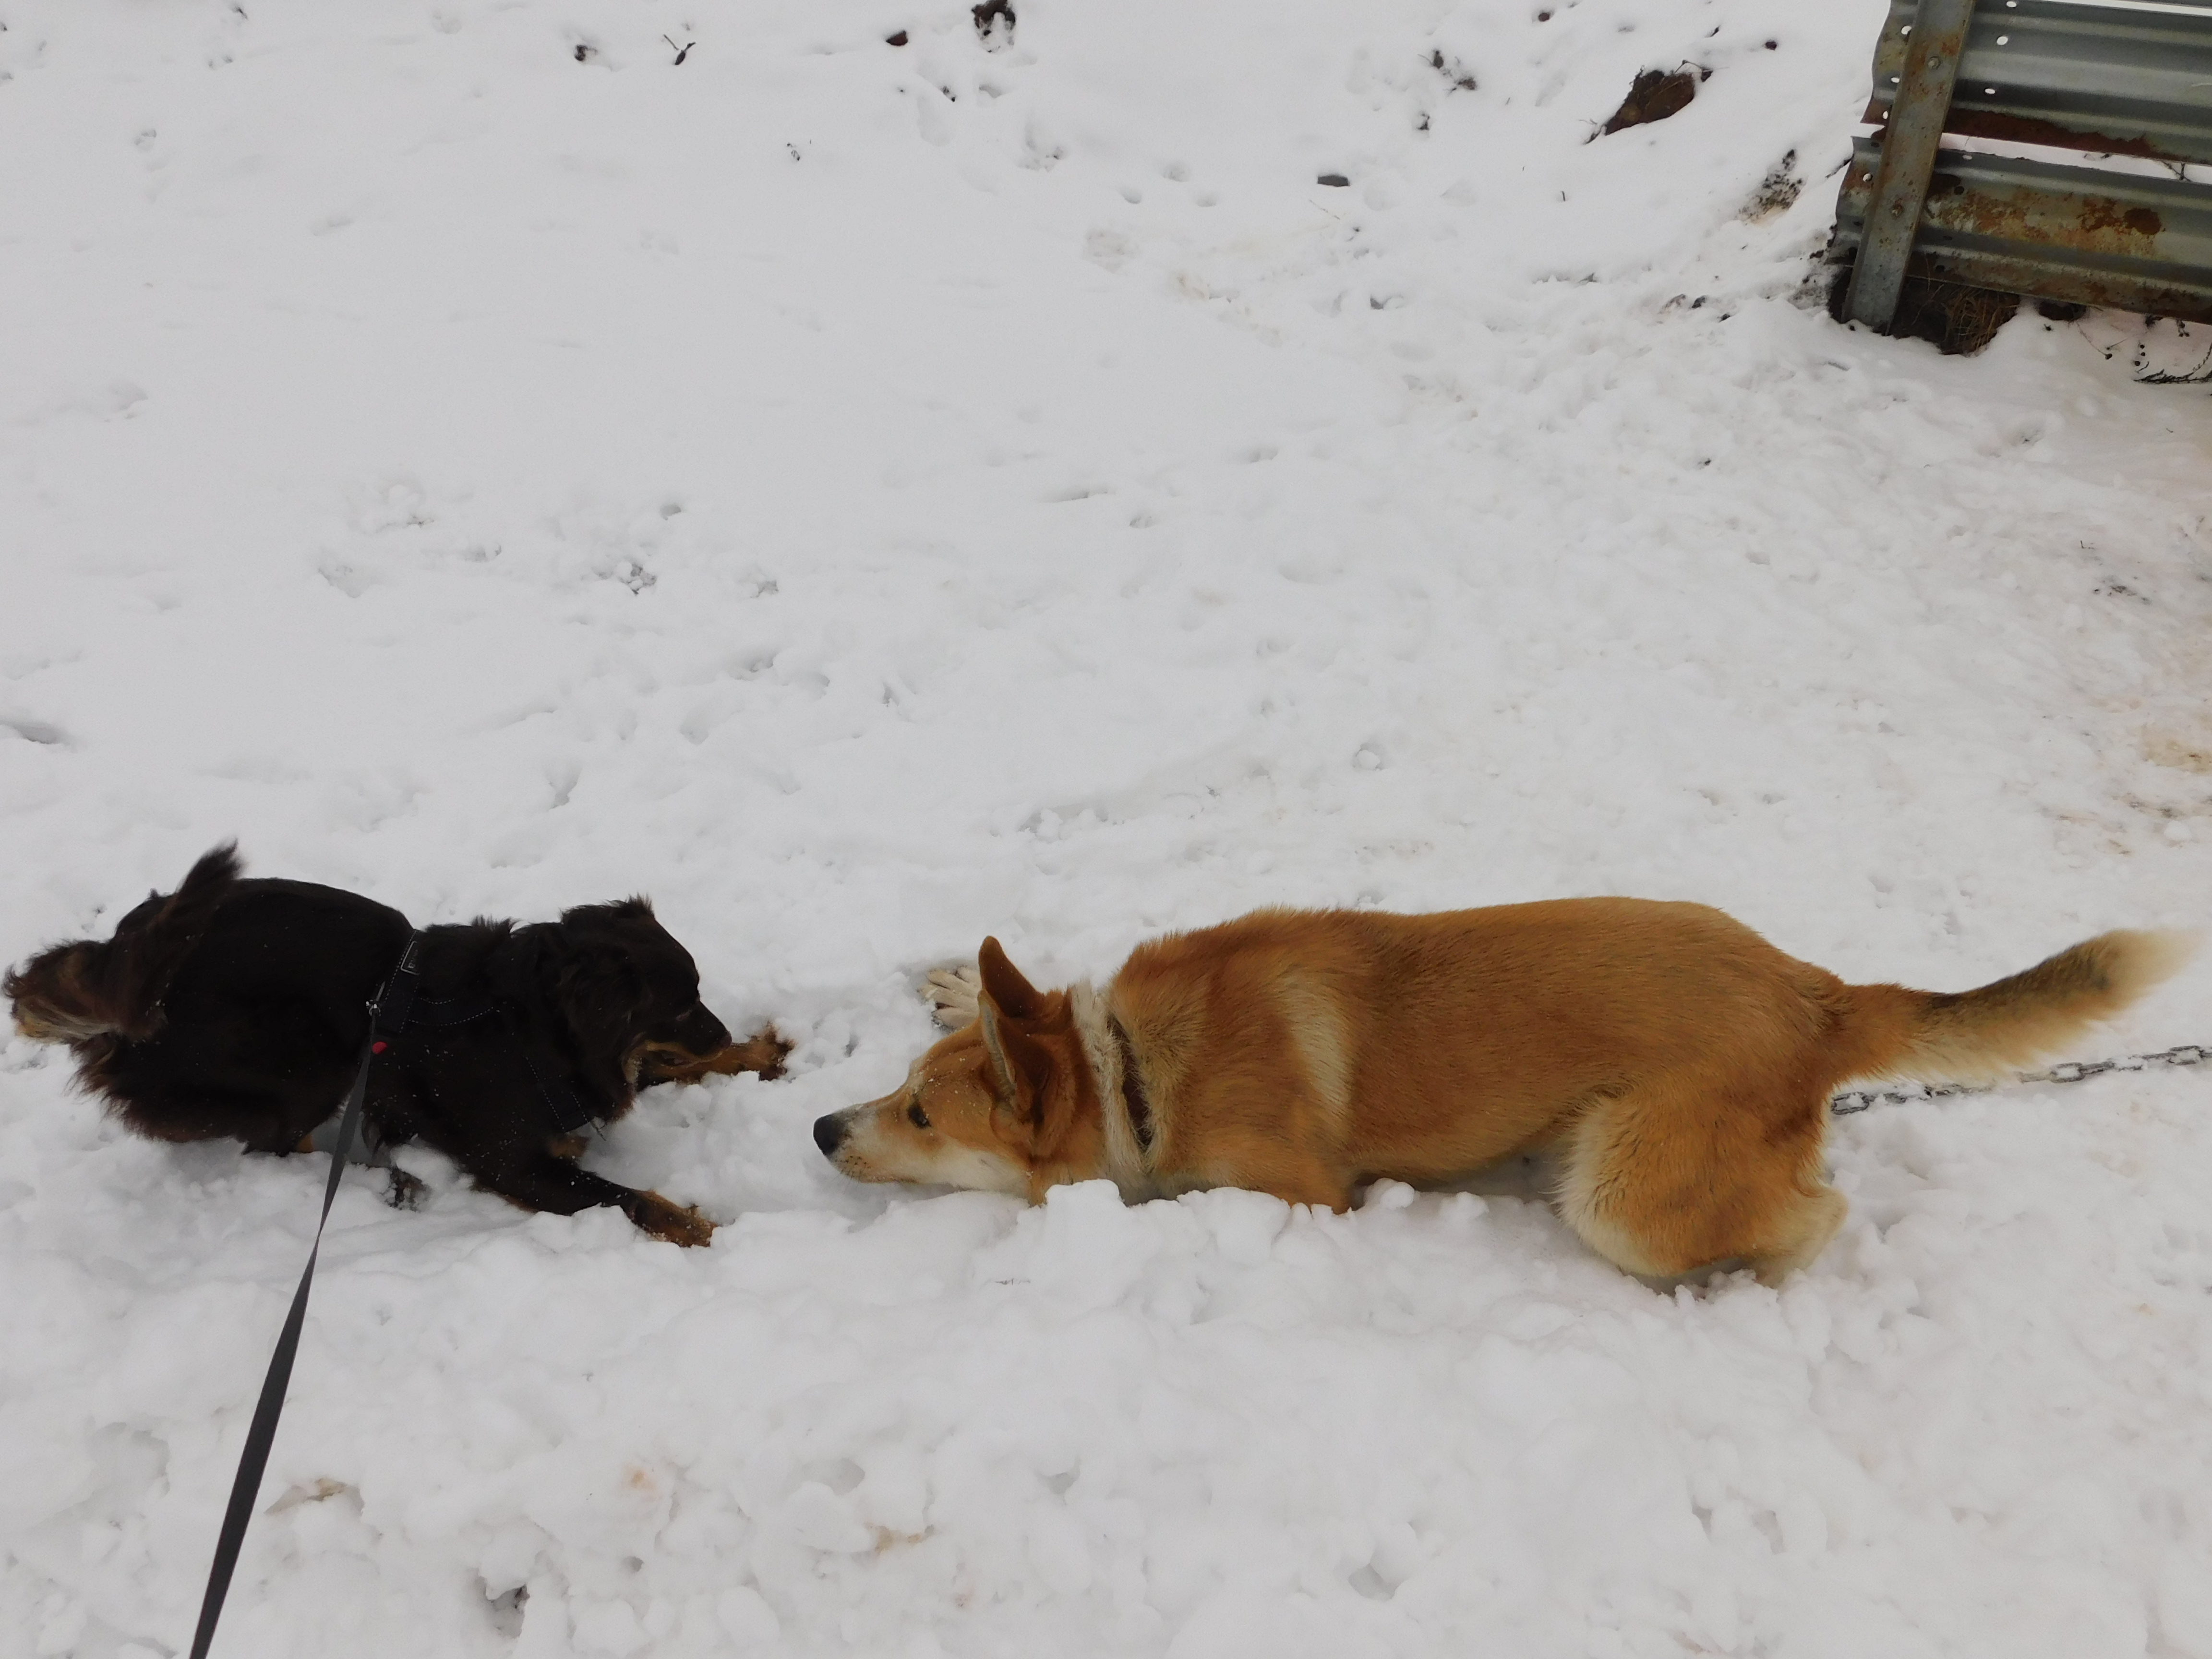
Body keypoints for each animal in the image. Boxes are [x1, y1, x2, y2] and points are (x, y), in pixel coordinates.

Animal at [6, 844, 790, 1245]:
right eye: (682, 1002)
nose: (723, 1027)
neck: (530, 1020)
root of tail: (125, 954)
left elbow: (663, 1067)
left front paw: (754, 1055)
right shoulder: (516, 1163)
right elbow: (628, 1199)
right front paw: (700, 1228)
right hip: (308, 1056)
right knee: (275, 1147)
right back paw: (388, 1179)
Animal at [813, 903, 2188, 1282]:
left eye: (922, 1118)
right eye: (901, 1087)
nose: (823, 1126)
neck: (1135, 1069)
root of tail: (1821, 993)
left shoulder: (1305, 1194)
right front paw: (957, 980)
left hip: (1616, 1192)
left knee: (1813, 1217)